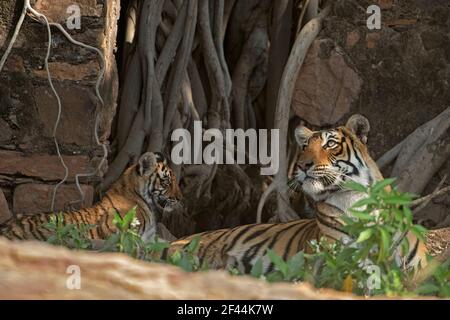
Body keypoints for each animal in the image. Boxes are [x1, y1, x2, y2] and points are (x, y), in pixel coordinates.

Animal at [167, 115, 448, 272]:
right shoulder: (339, 260)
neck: (356, 200)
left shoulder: (419, 267)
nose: (302, 165)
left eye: (330, 144)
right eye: (304, 146)